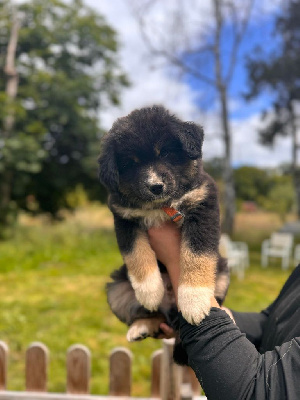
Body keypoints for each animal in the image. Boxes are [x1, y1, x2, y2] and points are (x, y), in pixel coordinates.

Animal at [98, 105, 227, 328]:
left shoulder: (202, 206)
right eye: (130, 163)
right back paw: (140, 327)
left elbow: (197, 254)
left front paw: (194, 300)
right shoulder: (124, 218)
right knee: (149, 315)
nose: (156, 186)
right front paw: (149, 291)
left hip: (223, 274)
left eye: (165, 152)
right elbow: (136, 252)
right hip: (116, 290)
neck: (160, 206)